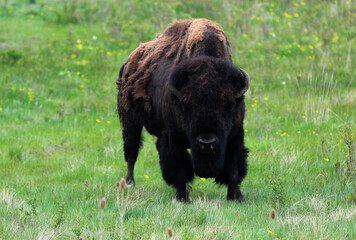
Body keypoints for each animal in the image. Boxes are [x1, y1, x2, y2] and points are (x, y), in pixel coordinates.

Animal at [115, 18, 249, 202]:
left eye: (229, 105)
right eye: (186, 106)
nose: (207, 143)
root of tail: (128, 64)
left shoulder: (236, 136)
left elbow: (233, 169)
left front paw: (236, 197)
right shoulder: (174, 138)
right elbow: (180, 168)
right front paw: (182, 198)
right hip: (130, 121)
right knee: (131, 151)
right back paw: (130, 183)